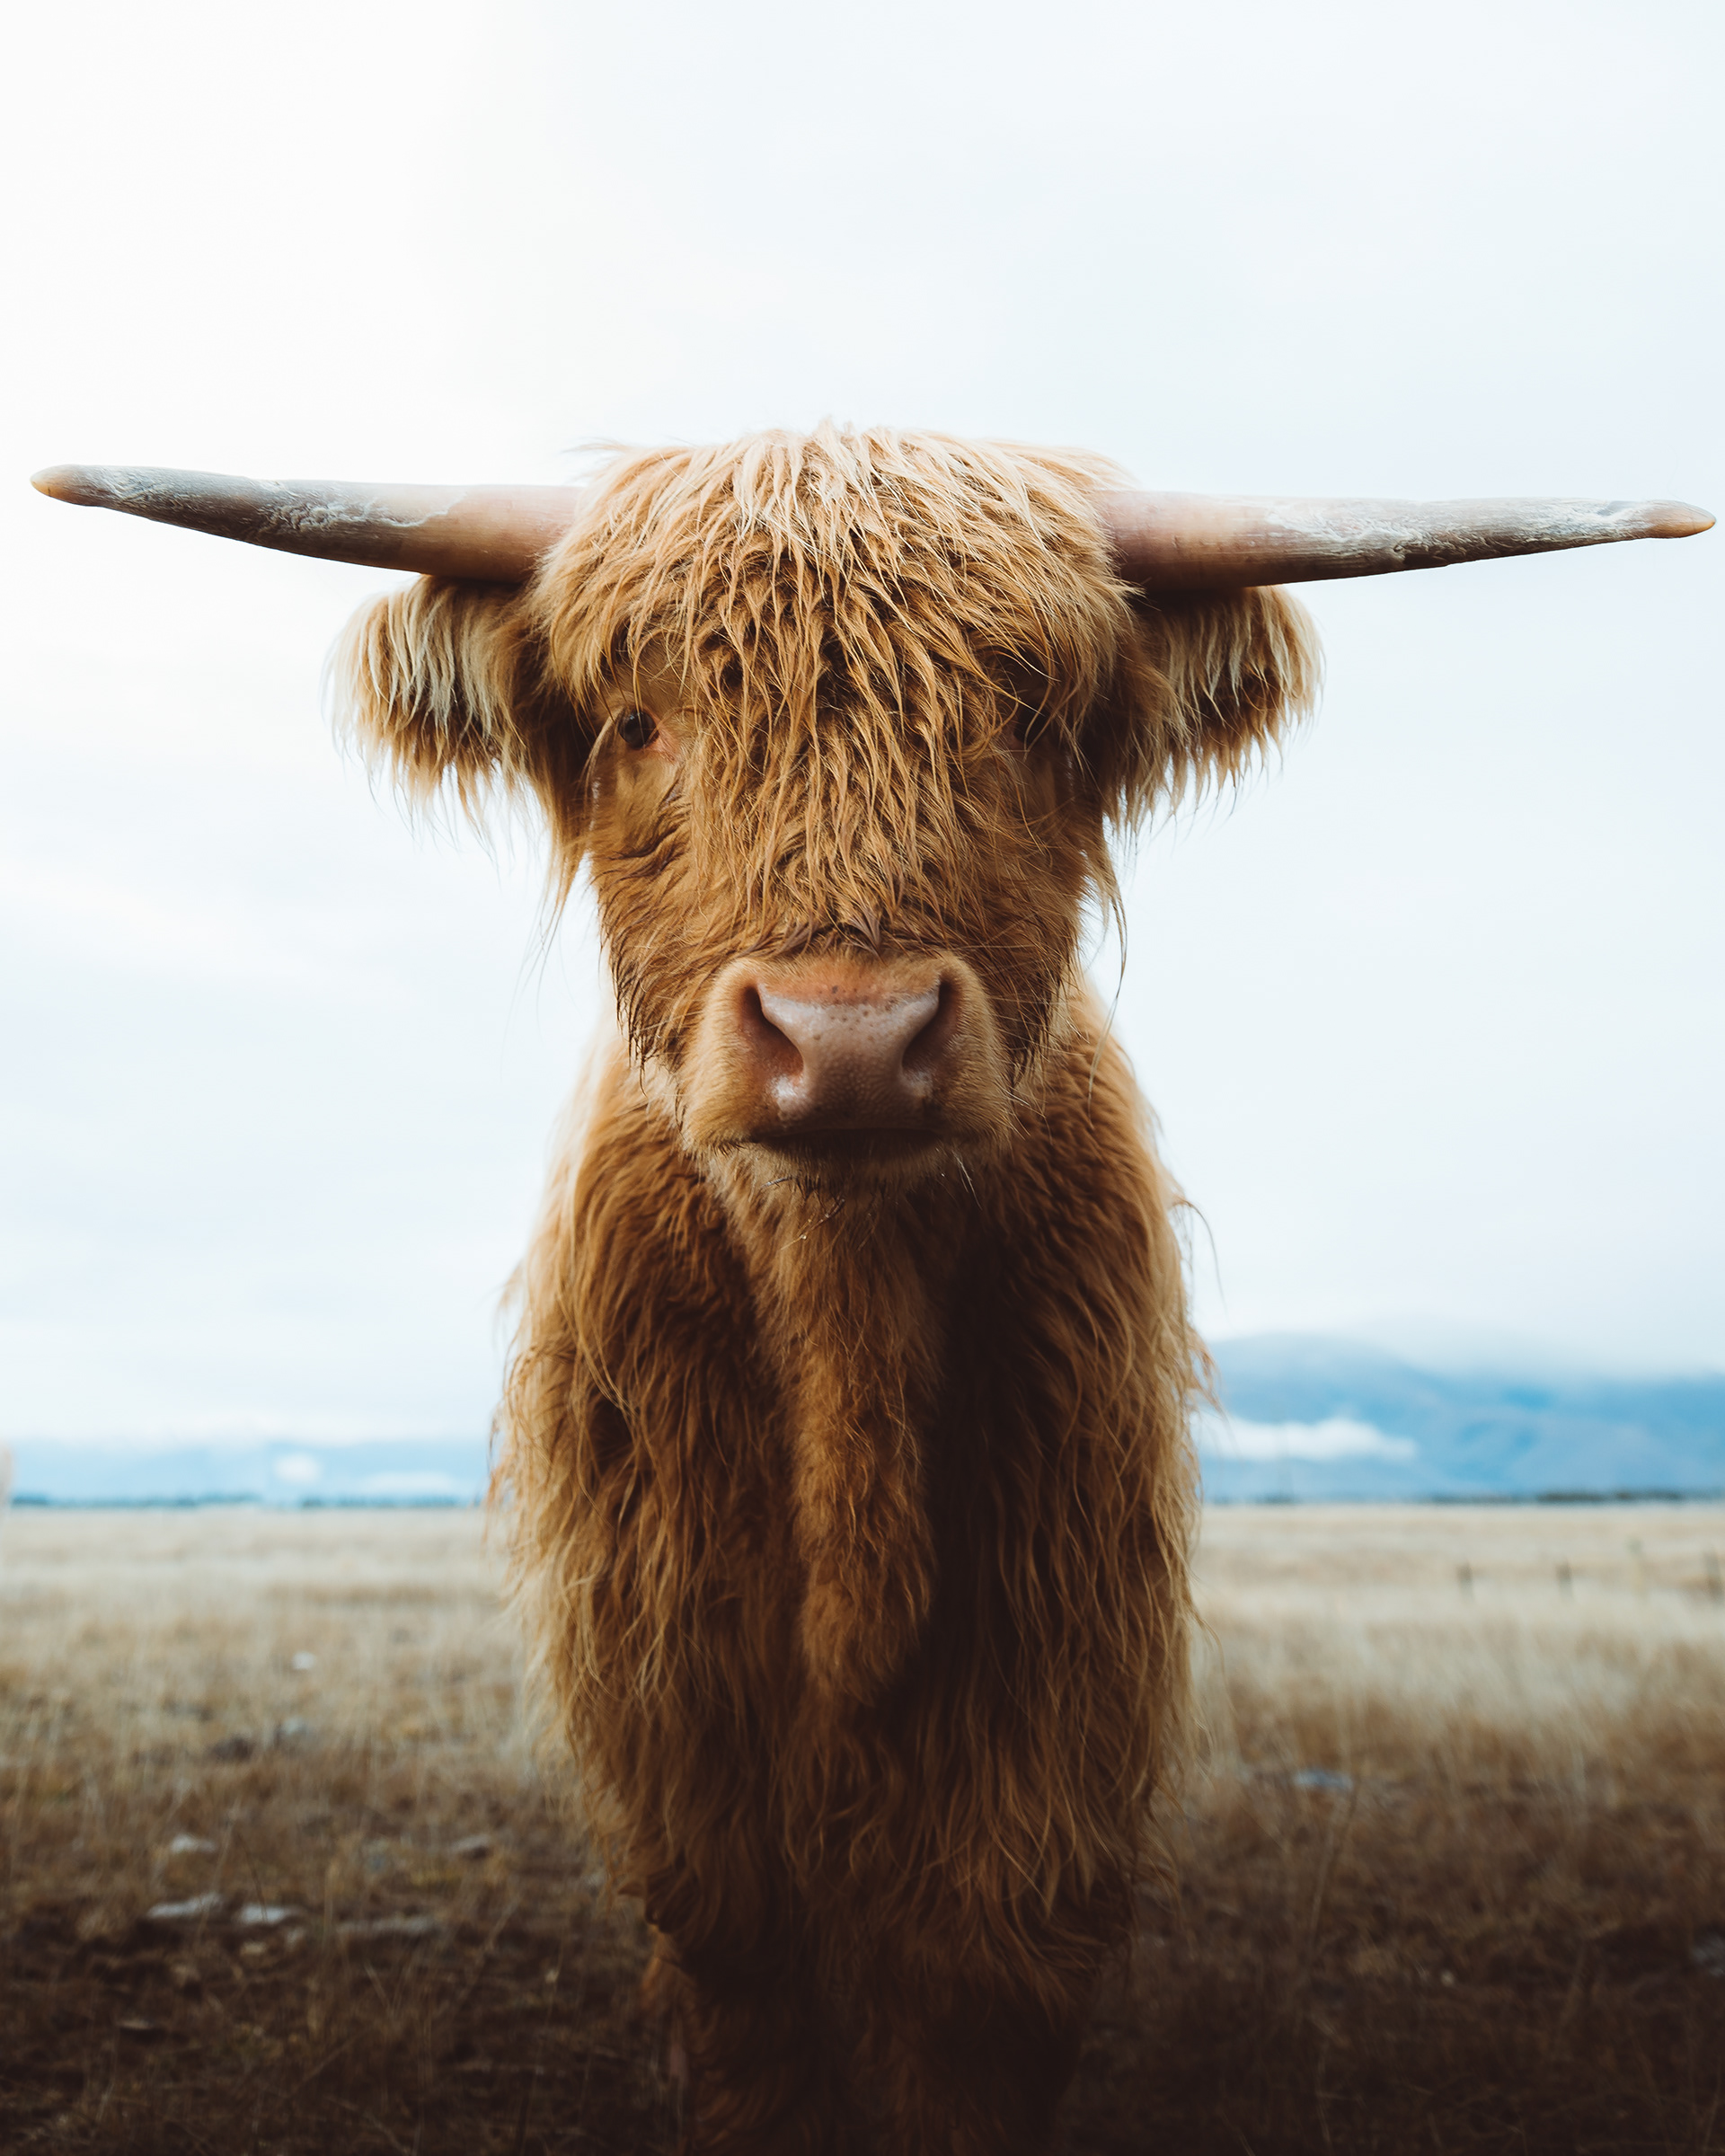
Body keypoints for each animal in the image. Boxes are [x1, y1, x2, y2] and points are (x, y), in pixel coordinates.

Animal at [34, 433, 1710, 2153]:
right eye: (639, 721)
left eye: (1033, 721)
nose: (847, 1041)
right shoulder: (667, 1658)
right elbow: (744, 1972)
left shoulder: (1058, 1647)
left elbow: (977, 1975)